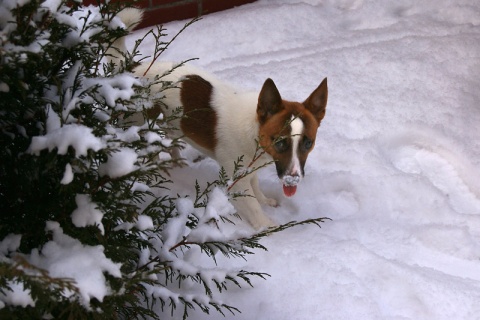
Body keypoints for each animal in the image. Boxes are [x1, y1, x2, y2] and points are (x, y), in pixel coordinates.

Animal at [114, 8, 328, 229]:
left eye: (308, 143)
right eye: (280, 142)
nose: (293, 180)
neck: (254, 129)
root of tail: (135, 69)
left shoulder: (249, 170)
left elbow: (256, 188)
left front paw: (264, 200)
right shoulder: (237, 180)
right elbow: (253, 208)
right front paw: (267, 227)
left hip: (171, 122)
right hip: (140, 124)